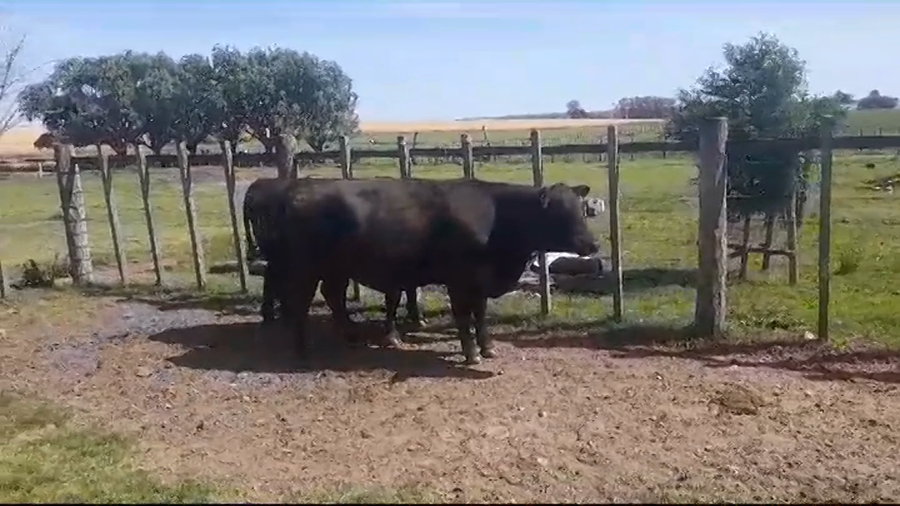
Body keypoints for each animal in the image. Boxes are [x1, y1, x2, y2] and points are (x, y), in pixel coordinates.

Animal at [278, 177, 598, 365]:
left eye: (582, 210)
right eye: (560, 212)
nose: (592, 243)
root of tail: (300, 191)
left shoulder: (479, 283)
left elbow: (481, 314)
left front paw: (487, 347)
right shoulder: (459, 280)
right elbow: (463, 316)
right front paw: (471, 354)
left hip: (336, 268)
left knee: (333, 295)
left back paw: (350, 336)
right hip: (306, 268)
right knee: (301, 300)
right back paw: (301, 349)